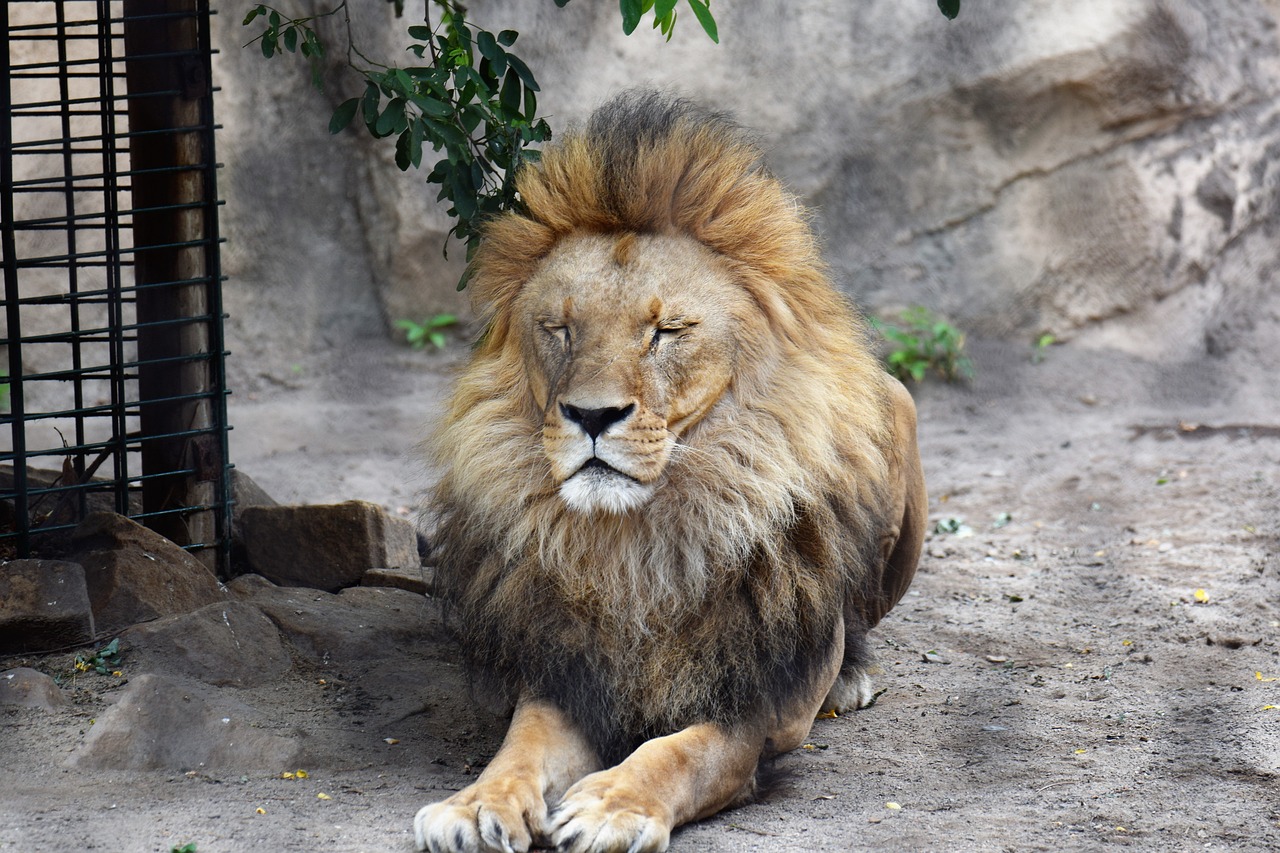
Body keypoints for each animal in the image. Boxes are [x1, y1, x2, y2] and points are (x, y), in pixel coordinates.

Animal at [413, 91, 927, 853]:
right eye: (559, 328)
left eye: (666, 332)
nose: (592, 415)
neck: (639, 544)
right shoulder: (564, 673)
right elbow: (521, 745)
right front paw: (477, 803)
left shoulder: (758, 705)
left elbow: (683, 751)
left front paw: (613, 805)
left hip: (901, 409)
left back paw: (851, 673)